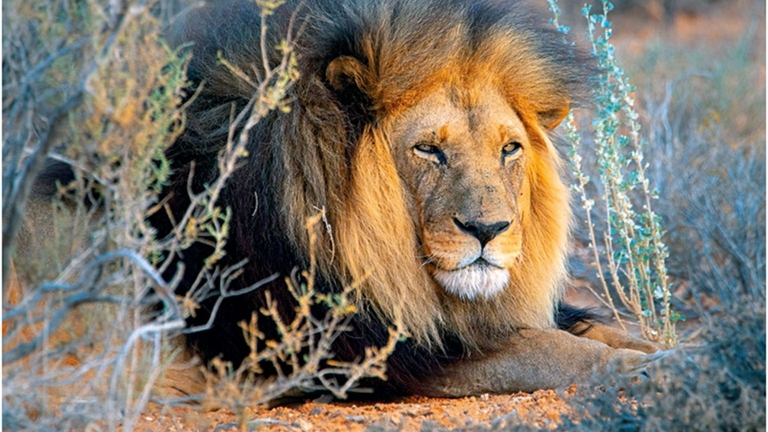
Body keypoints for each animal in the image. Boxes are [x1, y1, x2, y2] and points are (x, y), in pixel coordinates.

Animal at [155, 0, 665, 396]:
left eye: (509, 149)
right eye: (428, 149)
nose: (487, 230)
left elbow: (596, 328)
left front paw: (667, 351)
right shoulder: (381, 352)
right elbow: (549, 350)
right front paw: (642, 368)